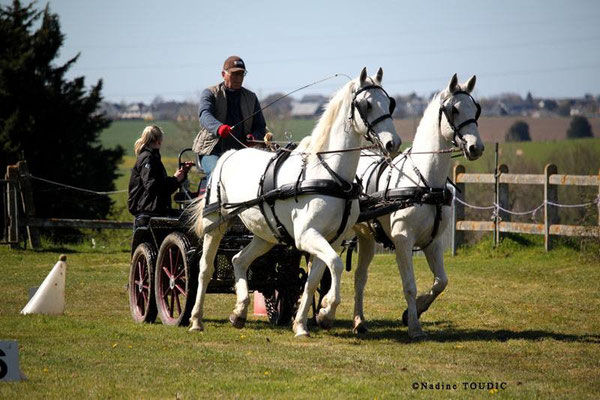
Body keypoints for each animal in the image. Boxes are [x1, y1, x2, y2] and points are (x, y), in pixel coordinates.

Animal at [190, 69, 400, 338]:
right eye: (366, 104)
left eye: (389, 102)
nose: (393, 143)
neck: (330, 174)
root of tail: (231, 154)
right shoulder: (307, 236)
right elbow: (336, 264)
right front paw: (327, 310)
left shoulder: (332, 239)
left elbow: (312, 280)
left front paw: (304, 323)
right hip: (215, 225)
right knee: (205, 270)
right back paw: (196, 320)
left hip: (265, 234)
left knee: (239, 260)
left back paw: (239, 313)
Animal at [352, 73, 482, 340]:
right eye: (454, 109)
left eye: (476, 109)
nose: (476, 147)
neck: (425, 182)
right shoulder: (403, 241)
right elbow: (409, 285)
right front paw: (414, 325)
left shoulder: (433, 242)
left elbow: (441, 281)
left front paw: (415, 311)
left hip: (366, 237)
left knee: (359, 277)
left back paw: (359, 321)